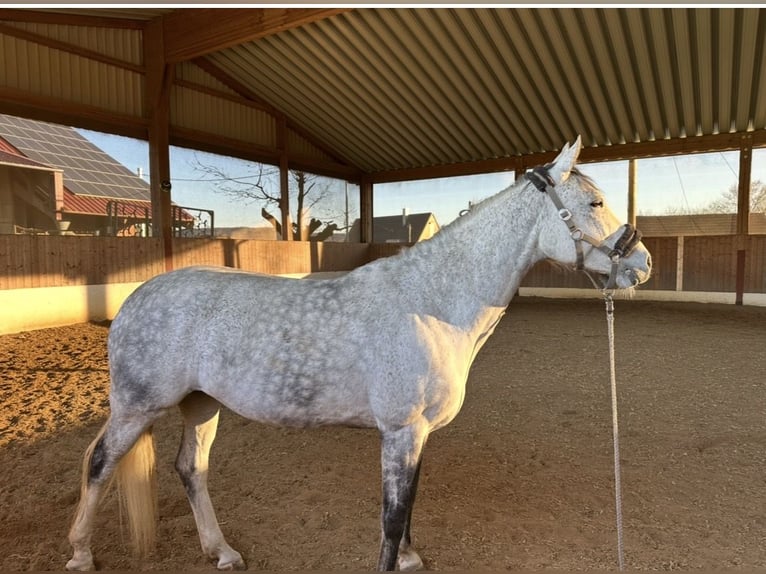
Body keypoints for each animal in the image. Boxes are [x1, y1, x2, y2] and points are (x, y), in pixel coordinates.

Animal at [65, 137, 651, 571]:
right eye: (595, 203)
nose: (640, 263)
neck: (430, 302)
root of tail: (138, 296)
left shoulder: (416, 433)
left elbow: (409, 505)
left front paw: (411, 557)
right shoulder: (400, 430)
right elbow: (391, 517)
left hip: (202, 404)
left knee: (191, 469)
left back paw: (222, 552)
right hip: (138, 406)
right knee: (98, 464)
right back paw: (80, 554)